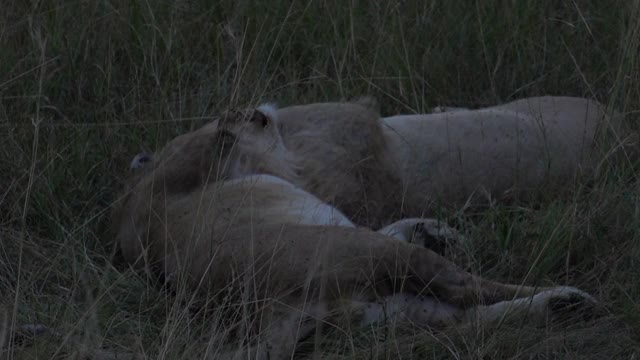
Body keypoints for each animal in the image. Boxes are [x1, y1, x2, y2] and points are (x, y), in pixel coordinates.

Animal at [116, 107, 600, 360]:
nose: (257, 112)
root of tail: (275, 310)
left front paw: (434, 228)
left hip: (398, 311)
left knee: (469, 318)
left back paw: (563, 307)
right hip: (378, 260)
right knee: (471, 290)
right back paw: (571, 297)